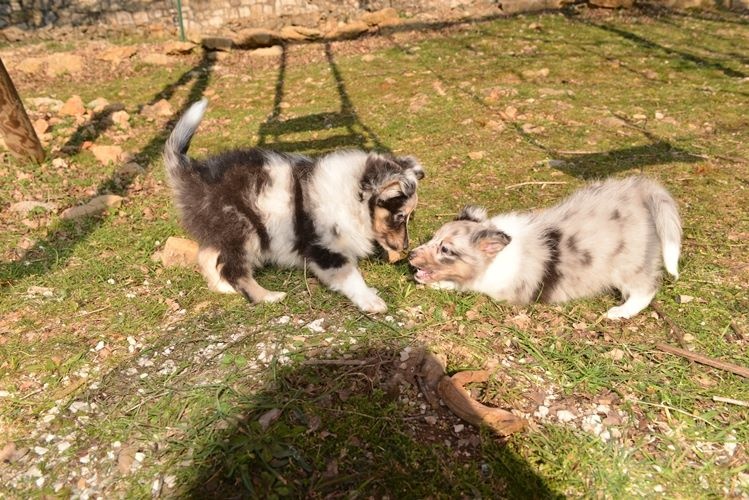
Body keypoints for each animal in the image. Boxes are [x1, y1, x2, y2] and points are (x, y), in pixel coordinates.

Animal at [163, 98, 424, 312]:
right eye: (400, 217)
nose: (405, 247)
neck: (352, 197)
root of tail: (193, 174)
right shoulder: (324, 248)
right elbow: (351, 275)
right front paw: (370, 301)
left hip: (221, 231)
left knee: (208, 256)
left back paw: (224, 287)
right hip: (242, 229)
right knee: (234, 270)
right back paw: (266, 296)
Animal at [406, 178, 680, 318]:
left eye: (446, 250)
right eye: (433, 238)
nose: (409, 255)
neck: (496, 258)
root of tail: (641, 189)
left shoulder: (500, 289)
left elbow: (462, 285)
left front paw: (439, 284)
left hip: (628, 264)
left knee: (646, 288)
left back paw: (620, 311)